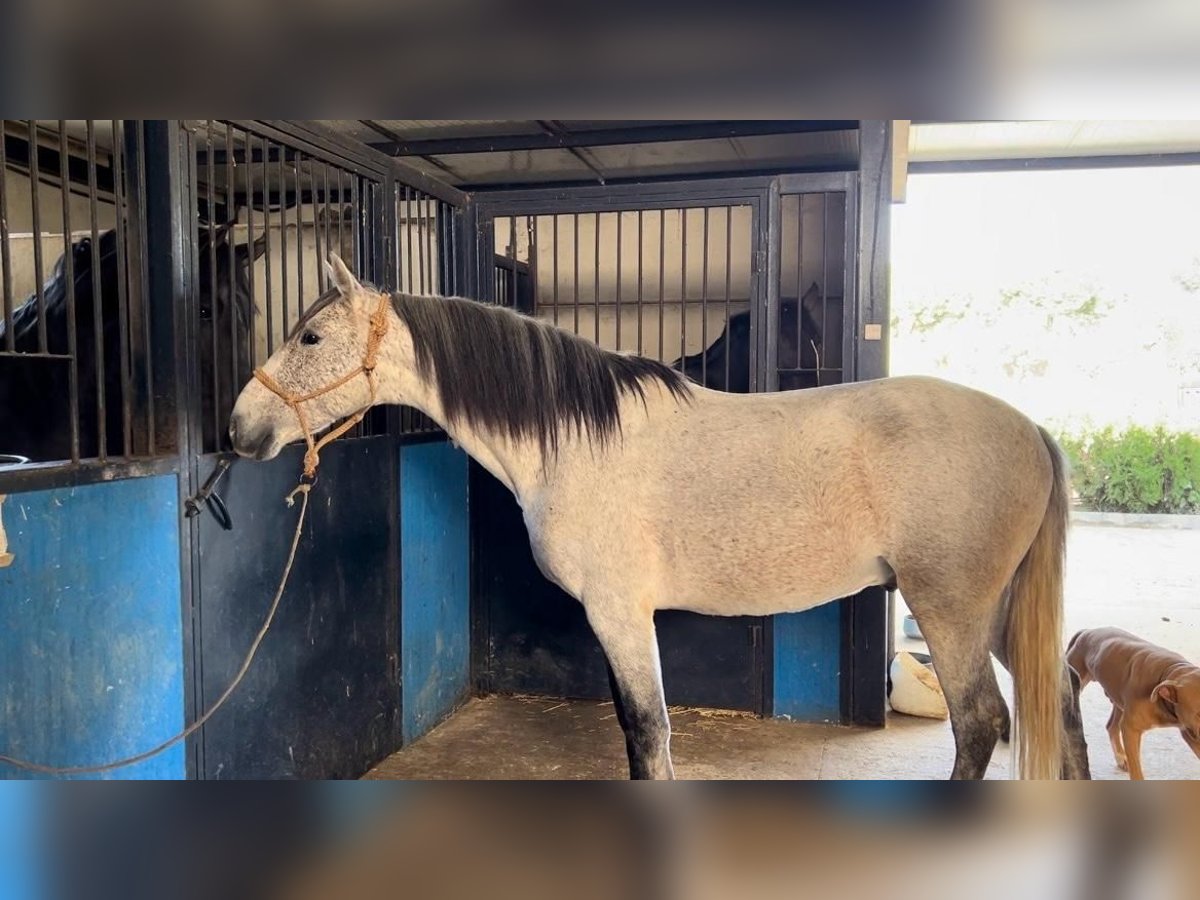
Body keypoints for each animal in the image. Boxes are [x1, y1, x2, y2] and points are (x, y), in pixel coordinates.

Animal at [1070, 628, 1200, 782]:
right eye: (1199, 713)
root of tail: (1087, 631)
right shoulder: (1130, 729)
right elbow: (1136, 770)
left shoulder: (1190, 731)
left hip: (1118, 697)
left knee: (1112, 726)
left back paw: (1120, 757)